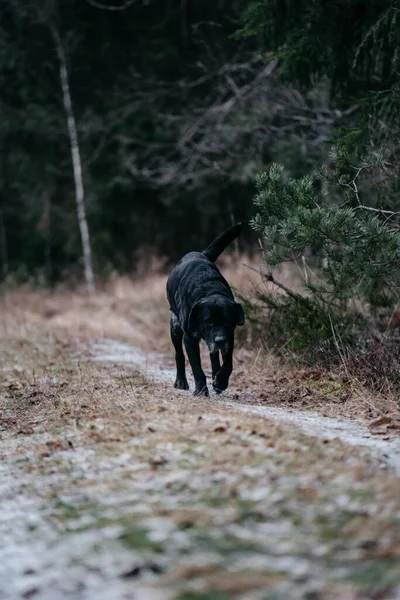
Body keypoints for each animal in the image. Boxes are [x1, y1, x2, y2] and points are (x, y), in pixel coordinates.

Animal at [166, 223, 244, 396]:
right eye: (208, 322)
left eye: (228, 321)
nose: (220, 340)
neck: (209, 289)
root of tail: (199, 253)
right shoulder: (189, 338)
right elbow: (196, 367)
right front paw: (201, 390)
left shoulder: (230, 337)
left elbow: (228, 364)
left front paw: (220, 381)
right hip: (175, 328)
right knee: (179, 355)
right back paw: (181, 381)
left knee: (214, 356)